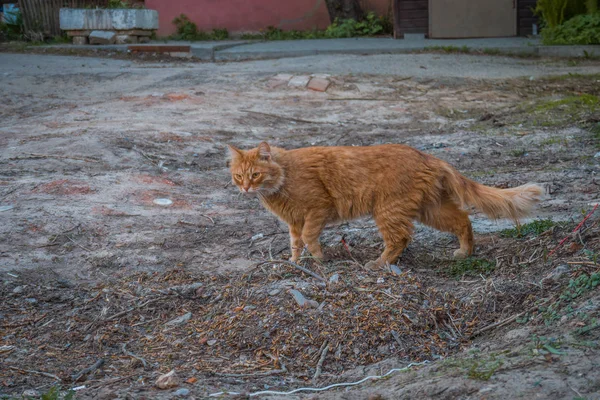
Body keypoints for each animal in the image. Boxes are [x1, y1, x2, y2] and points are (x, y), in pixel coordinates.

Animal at [226, 142, 544, 268]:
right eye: (239, 175)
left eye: (255, 175)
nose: (245, 188)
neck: (283, 178)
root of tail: (426, 155)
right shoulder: (294, 221)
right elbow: (295, 243)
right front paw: (295, 263)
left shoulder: (317, 209)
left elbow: (308, 237)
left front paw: (318, 259)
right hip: (430, 209)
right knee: (464, 220)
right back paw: (464, 253)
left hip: (388, 210)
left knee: (400, 239)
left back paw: (379, 264)